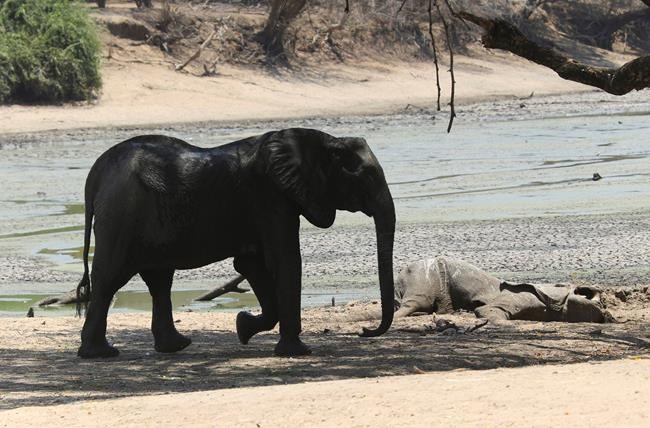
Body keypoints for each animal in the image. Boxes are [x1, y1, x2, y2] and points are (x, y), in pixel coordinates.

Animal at [75, 128, 395, 358]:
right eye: (363, 177)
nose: (364, 330)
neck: (318, 140)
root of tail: (95, 173)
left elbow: (252, 263)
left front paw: (243, 327)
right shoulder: (271, 198)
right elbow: (285, 259)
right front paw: (297, 352)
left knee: (159, 281)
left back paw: (176, 346)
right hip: (121, 215)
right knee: (109, 279)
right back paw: (100, 354)